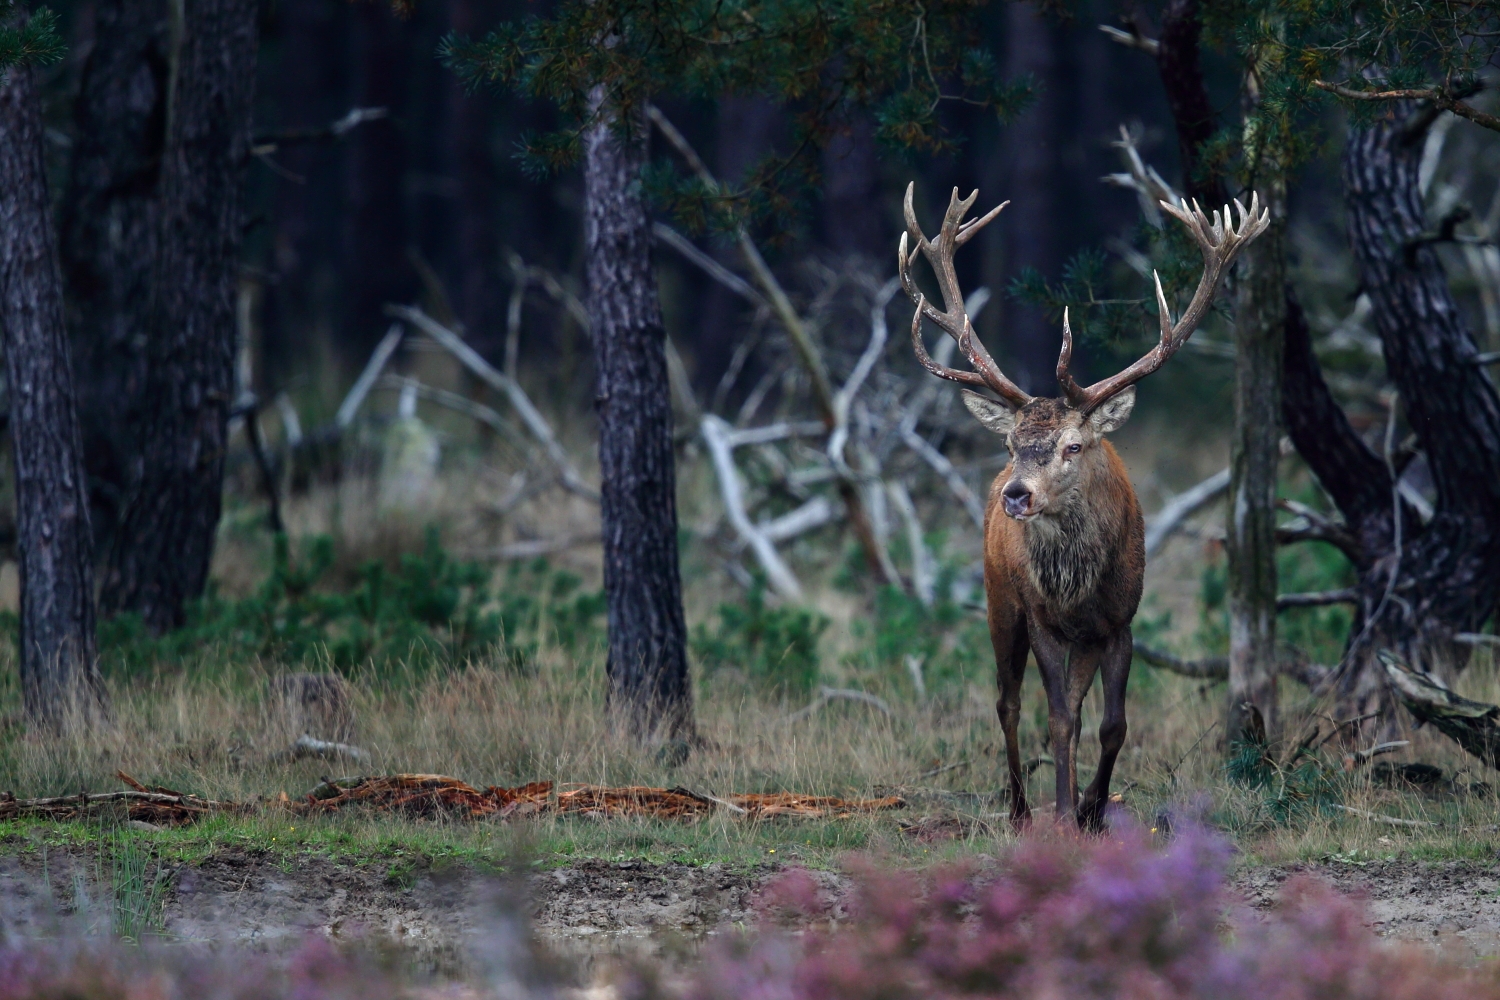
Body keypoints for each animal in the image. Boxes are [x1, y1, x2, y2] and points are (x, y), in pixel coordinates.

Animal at [898, 182, 1269, 830]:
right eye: (1012, 445)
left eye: (1074, 444)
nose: (1016, 494)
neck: (1077, 588)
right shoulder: (1041, 617)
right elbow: (1059, 719)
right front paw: (1069, 813)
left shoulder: (1120, 622)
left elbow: (1112, 723)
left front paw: (1094, 809)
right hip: (999, 601)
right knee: (1009, 702)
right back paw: (1023, 809)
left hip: (1079, 636)